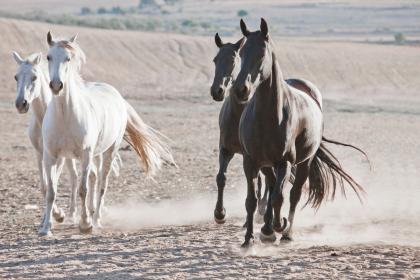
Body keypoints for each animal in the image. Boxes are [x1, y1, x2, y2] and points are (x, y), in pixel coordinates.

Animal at [40, 31, 173, 235]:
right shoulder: (51, 156)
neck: (65, 115)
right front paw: (46, 227)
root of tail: (117, 95)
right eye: (48, 57)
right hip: (96, 153)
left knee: (102, 182)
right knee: (95, 178)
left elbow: (83, 189)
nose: (56, 85)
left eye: (68, 58)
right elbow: (51, 191)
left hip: (109, 151)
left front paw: (85, 224)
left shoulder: (85, 154)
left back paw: (96, 219)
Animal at [233, 19, 368, 247]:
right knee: (272, 187)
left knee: (293, 194)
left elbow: (280, 197)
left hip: (305, 161)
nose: (241, 89)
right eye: (241, 53)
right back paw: (267, 229)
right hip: (268, 165)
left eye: (262, 53)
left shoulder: (285, 162)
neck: (268, 117)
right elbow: (251, 201)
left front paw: (278, 226)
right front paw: (249, 239)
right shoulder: (250, 161)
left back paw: (286, 233)